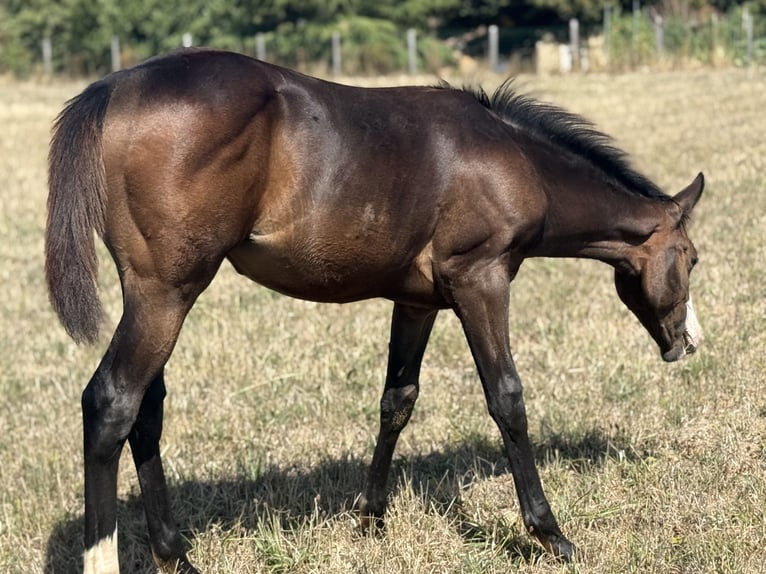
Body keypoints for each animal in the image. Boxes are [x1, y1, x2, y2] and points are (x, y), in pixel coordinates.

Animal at [45, 48, 703, 574]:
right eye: (692, 259)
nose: (687, 343)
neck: (511, 158)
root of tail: (117, 86)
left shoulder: (416, 302)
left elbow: (397, 401)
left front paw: (371, 519)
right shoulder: (481, 281)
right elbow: (508, 399)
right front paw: (551, 535)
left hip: (155, 298)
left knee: (147, 412)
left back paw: (176, 555)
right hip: (167, 293)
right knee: (112, 403)